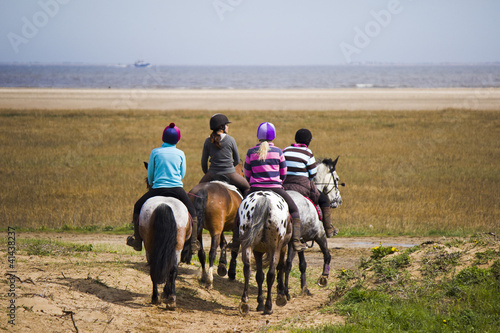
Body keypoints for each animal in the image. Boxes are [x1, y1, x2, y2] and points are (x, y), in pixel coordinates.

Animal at [284, 156, 346, 298]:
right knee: (286, 264)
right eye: (337, 178)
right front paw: (324, 278)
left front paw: (304, 288)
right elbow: (327, 255)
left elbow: (302, 264)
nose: (339, 201)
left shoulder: (300, 242)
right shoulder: (319, 235)